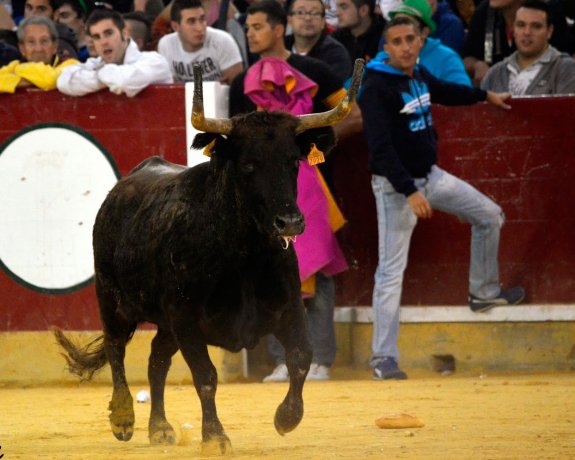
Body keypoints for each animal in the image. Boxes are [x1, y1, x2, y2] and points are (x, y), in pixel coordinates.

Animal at [53, 59, 360, 452]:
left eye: (294, 162)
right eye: (248, 164)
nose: (290, 221)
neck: (245, 257)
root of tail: (122, 187)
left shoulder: (289, 308)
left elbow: (302, 357)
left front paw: (286, 418)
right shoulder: (186, 319)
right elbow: (206, 375)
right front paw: (215, 436)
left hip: (164, 321)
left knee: (156, 360)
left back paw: (160, 427)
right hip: (111, 297)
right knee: (116, 346)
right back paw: (123, 417)